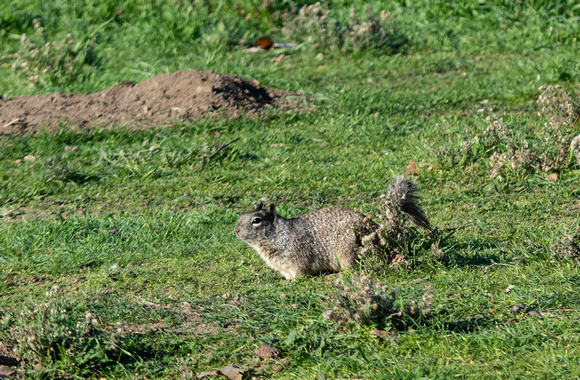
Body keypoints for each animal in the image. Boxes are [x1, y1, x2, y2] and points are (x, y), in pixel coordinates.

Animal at [234, 176, 430, 280]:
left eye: (256, 220)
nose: (236, 230)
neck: (278, 235)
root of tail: (377, 229)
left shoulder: (297, 259)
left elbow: (299, 274)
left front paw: (291, 282)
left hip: (347, 251)